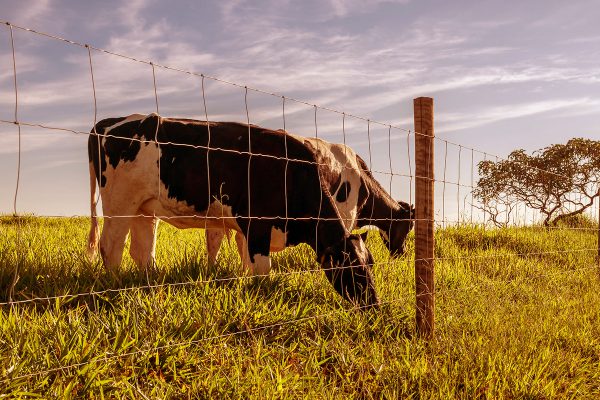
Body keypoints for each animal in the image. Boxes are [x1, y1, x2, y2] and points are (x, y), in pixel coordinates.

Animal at [88, 112, 380, 306]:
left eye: (371, 263)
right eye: (352, 266)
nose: (374, 304)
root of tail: (108, 122)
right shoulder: (257, 225)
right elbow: (262, 270)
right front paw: (263, 295)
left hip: (144, 208)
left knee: (141, 251)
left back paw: (149, 284)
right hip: (120, 203)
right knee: (110, 247)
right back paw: (114, 287)